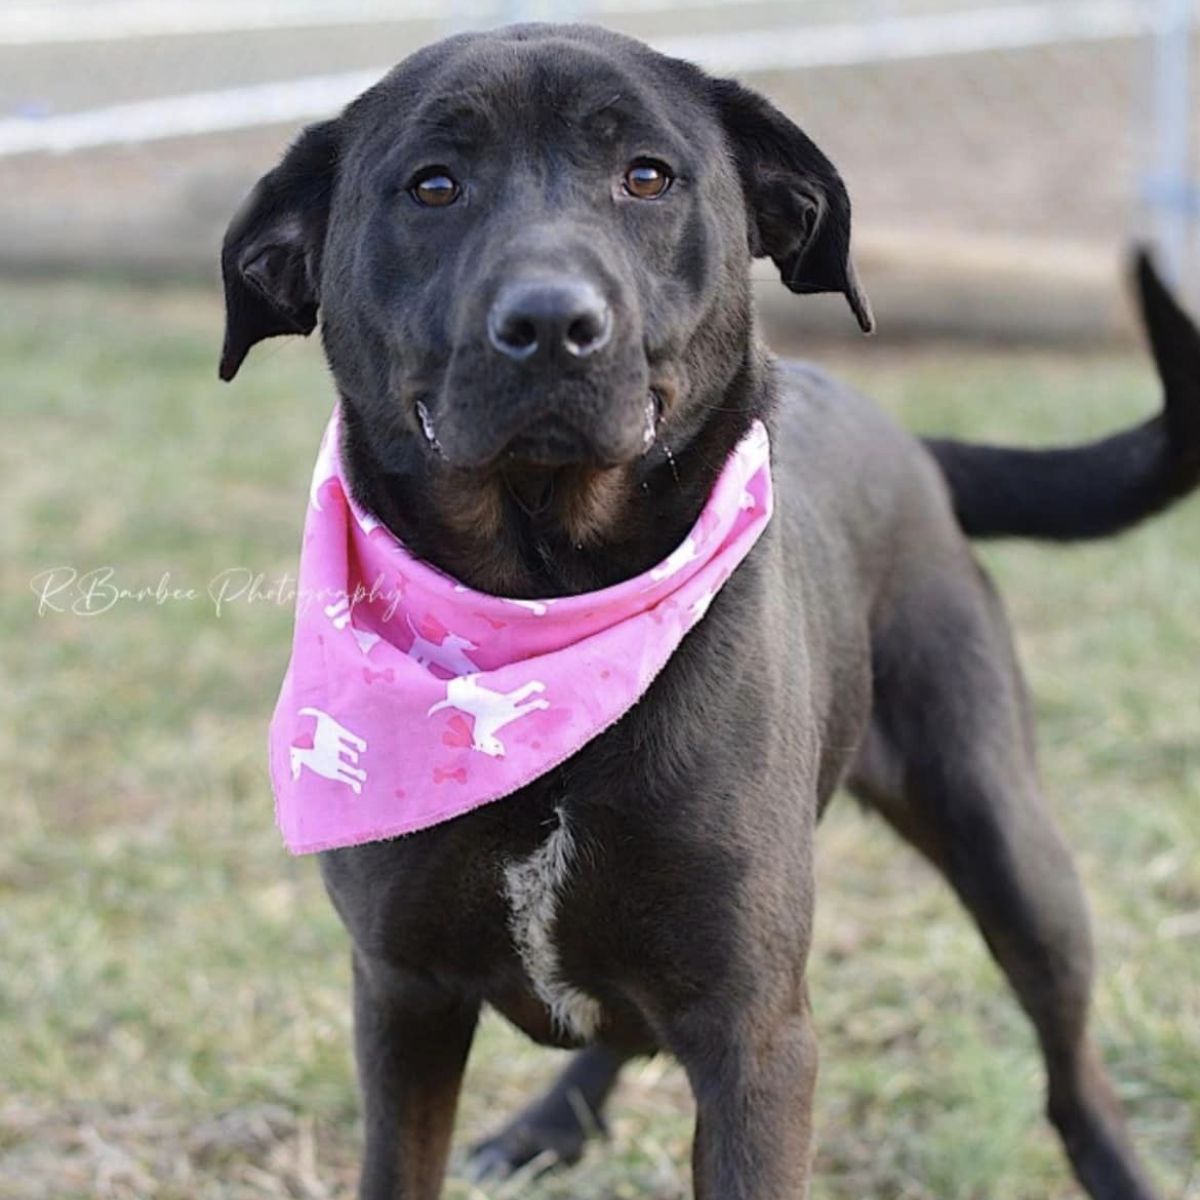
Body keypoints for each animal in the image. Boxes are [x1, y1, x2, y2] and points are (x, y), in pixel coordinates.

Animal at [218, 25, 1200, 1200]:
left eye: (646, 176)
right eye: (433, 185)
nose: (551, 324)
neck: (545, 596)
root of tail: (910, 440)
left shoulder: (756, 1035)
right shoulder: (403, 995)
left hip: (1003, 831)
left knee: (1067, 1056)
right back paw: (551, 1121)